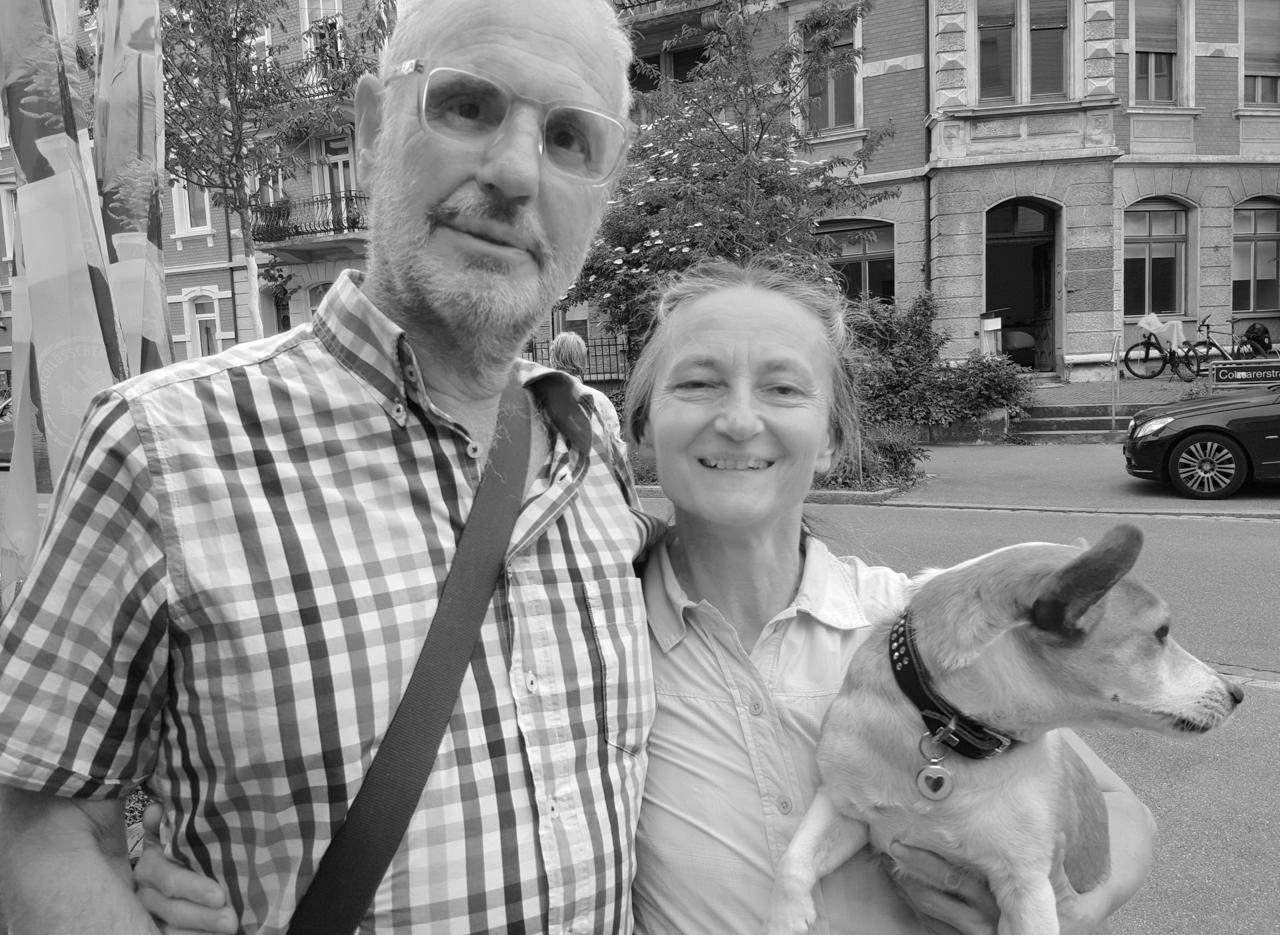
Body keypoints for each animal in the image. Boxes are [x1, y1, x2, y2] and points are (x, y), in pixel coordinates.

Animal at [763, 524, 1243, 935]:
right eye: (1161, 633)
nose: (1238, 693)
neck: (950, 730)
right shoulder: (842, 808)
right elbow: (793, 862)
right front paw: (785, 919)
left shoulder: (1026, 888)